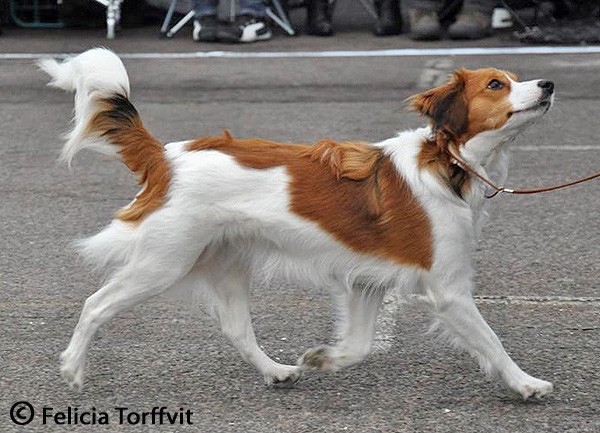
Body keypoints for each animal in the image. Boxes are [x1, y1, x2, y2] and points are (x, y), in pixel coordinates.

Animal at [37, 47, 556, 398]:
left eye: (515, 78)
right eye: (496, 85)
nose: (548, 85)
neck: (448, 163)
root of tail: (167, 158)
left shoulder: (366, 280)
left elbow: (360, 344)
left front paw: (323, 358)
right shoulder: (447, 289)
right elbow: (491, 341)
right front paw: (525, 382)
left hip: (225, 262)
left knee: (236, 328)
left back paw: (276, 370)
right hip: (162, 262)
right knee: (95, 305)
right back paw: (72, 368)